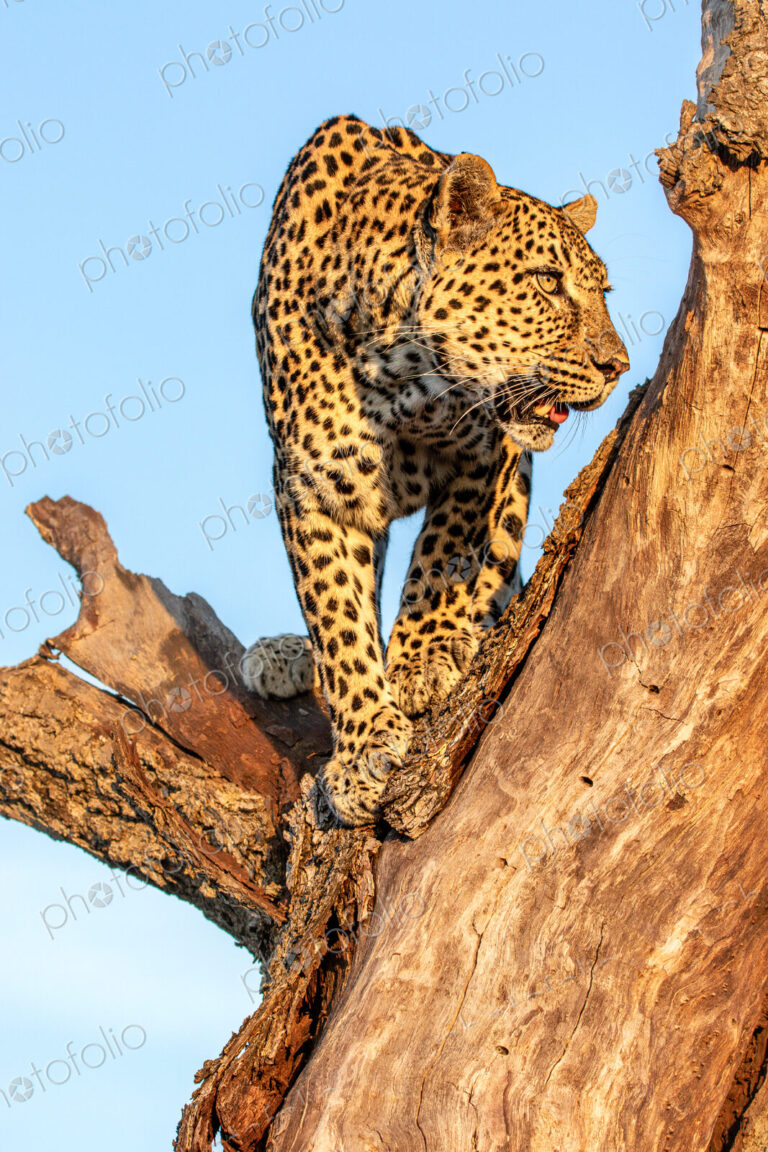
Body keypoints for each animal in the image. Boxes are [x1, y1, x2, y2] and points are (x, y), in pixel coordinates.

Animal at [241, 114, 629, 826]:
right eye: (548, 281)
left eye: (603, 292)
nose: (617, 365)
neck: (399, 374)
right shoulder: (310, 489)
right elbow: (336, 614)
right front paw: (364, 747)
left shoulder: (489, 454)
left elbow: (446, 552)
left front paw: (422, 659)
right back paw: (282, 654)